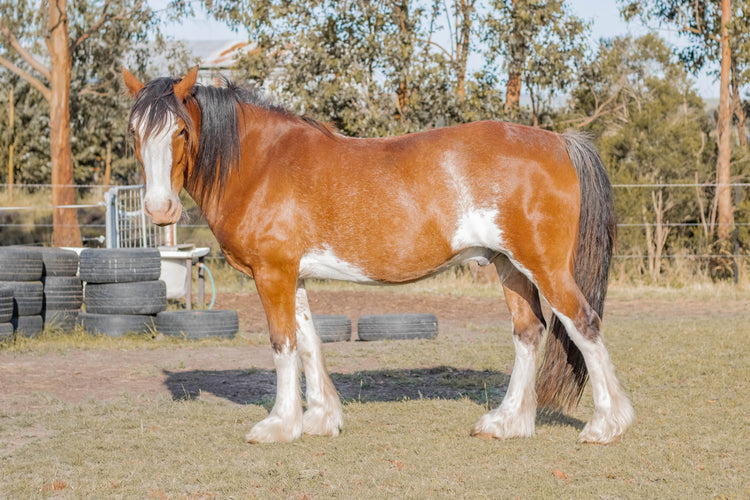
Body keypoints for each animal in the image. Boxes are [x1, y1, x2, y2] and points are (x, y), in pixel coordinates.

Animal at [122, 66, 634, 445]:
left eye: (181, 131)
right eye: (134, 132)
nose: (160, 209)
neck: (262, 164)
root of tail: (557, 141)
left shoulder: (273, 273)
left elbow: (282, 344)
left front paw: (279, 425)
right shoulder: (294, 275)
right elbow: (308, 341)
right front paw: (321, 419)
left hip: (545, 267)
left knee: (583, 324)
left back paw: (605, 425)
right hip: (509, 266)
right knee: (529, 333)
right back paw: (506, 423)